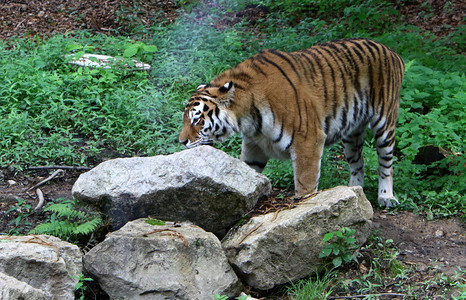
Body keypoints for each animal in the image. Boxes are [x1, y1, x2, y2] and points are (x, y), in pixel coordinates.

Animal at [178, 38, 404, 206]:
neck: (247, 118)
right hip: (352, 135)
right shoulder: (254, 146)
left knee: (386, 162)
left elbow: (305, 186)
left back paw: (386, 197)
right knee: (358, 163)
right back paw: (353, 191)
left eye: (197, 119)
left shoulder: (308, 141)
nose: (181, 142)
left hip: (384, 124)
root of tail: (392, 51)